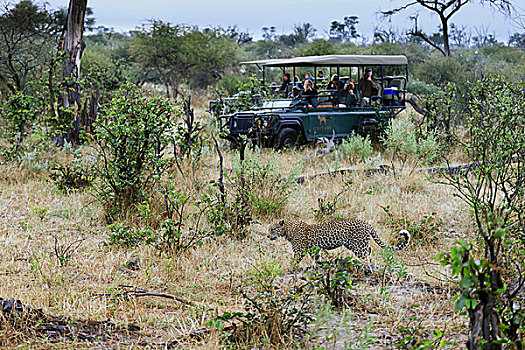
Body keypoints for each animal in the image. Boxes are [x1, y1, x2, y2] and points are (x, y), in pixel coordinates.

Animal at [270, 220, 410, 262]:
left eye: (272, 230)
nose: (267, 236)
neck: (287, 230)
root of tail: (366, 223)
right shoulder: (314, 250)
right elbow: (317, 259)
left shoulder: (300, 250)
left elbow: (294, 261)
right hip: (358, 245)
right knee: (369, 251)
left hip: (358, 246)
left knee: (365, 256)